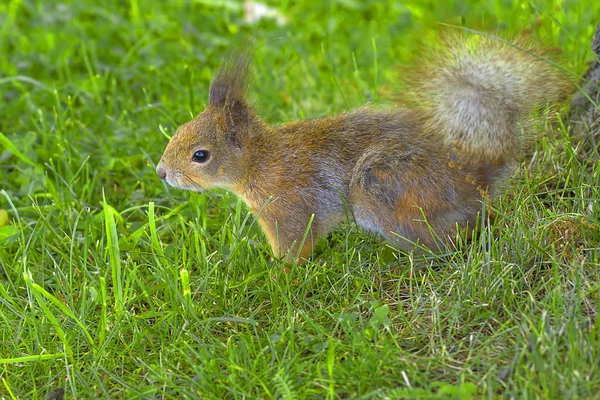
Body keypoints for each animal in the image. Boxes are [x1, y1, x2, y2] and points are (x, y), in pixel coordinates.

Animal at [155, 31, 568, 262]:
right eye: (178, 130)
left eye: (200, 155)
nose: (161, 172)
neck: (261, 161)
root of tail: (477, 176)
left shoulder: (290, 208)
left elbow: (295, 247)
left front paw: (278, 276)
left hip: (382, 187)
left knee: (448, 241)